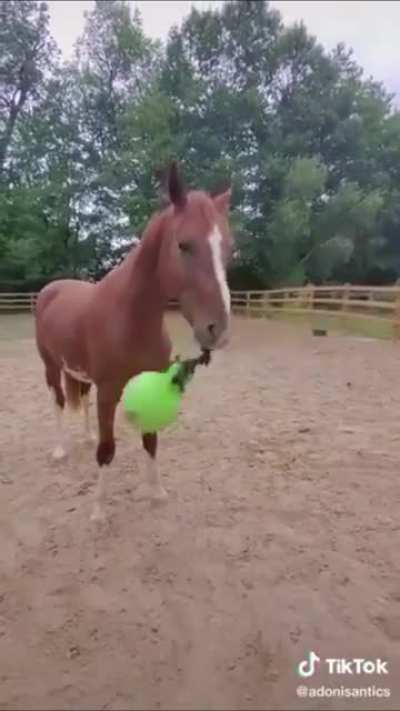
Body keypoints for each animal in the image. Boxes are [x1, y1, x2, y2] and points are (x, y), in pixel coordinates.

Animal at [34, 162, 233, 521]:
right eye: (183, 245)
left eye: (229, 249)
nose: (219, 329)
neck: (130, 318)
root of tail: (51, 289)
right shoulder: (109, 392)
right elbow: (107, 450)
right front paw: (99, 511)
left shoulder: (150, 382)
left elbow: (150, 440)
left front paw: (156, 492)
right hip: (51, 365)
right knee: (58, 401)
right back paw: (60, 449)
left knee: (81, 398)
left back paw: (84, 436)